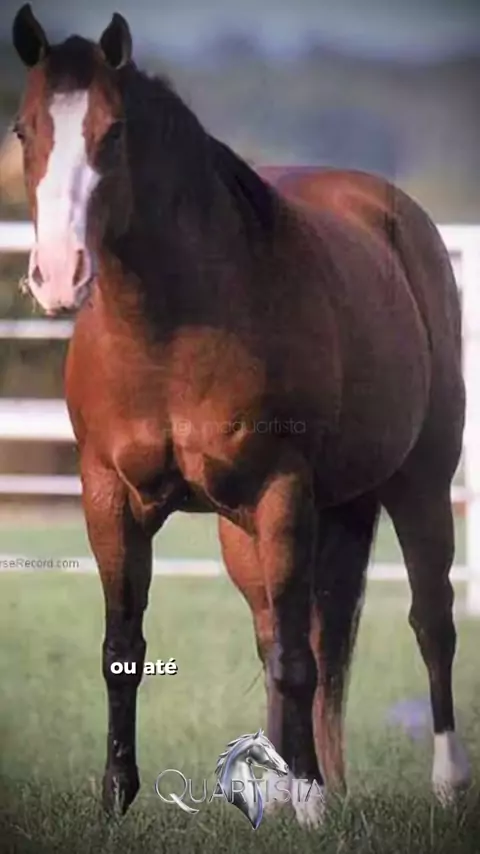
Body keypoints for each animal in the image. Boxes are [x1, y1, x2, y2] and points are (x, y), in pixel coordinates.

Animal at [11, 4, 471, 824]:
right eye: (23, 130)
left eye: (114, 131)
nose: (59, 275)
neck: (169, 331)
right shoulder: (108, 498)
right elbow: (124, 650)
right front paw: (116, 799)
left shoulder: (282, 492)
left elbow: (297, 659)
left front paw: (309, 802)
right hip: (258, 528)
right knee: (289, 629)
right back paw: (287, 783)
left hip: (418, 483)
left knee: (428, 619)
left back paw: (438, 784)